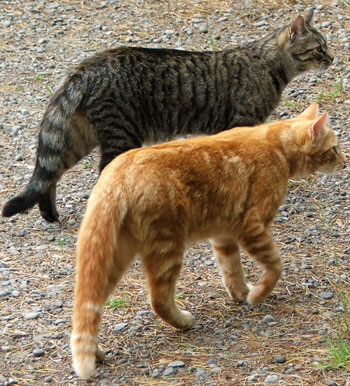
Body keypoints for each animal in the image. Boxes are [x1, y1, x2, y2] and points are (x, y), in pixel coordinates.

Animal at [2, 9, 334, 223]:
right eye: (319, 48)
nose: (332, 58)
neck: (269, 65)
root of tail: (89, 65)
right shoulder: (242, 122)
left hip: (80, 135)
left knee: (50, 171)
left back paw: (49, 214)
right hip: (121, 134)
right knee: (101, 174)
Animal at [69, 102, 346, 376]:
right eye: (334, 148)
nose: (345, 162)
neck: (275, 145)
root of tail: (115, 175)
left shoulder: (224, 236)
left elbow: (232, 270)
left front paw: (241, 294)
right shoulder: (252, 227)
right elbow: (275, 266)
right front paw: (257, 294)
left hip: (111, 259)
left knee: (88, 308)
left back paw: (97, 352)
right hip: (167, 247)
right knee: (158, 299)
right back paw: (183, 322)